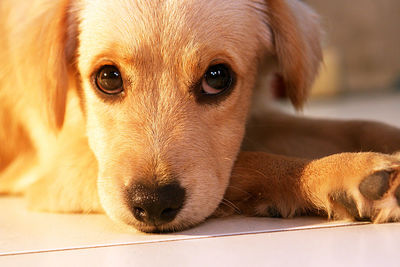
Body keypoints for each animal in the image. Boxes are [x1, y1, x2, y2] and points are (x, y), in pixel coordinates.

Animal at [0, 0, 400, 233]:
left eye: (217, 78)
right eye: (108, 78)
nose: (153, 204)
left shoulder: (250, 119)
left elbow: (350, 125)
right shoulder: (62, 171)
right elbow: (250, 162)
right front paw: (342, 172)